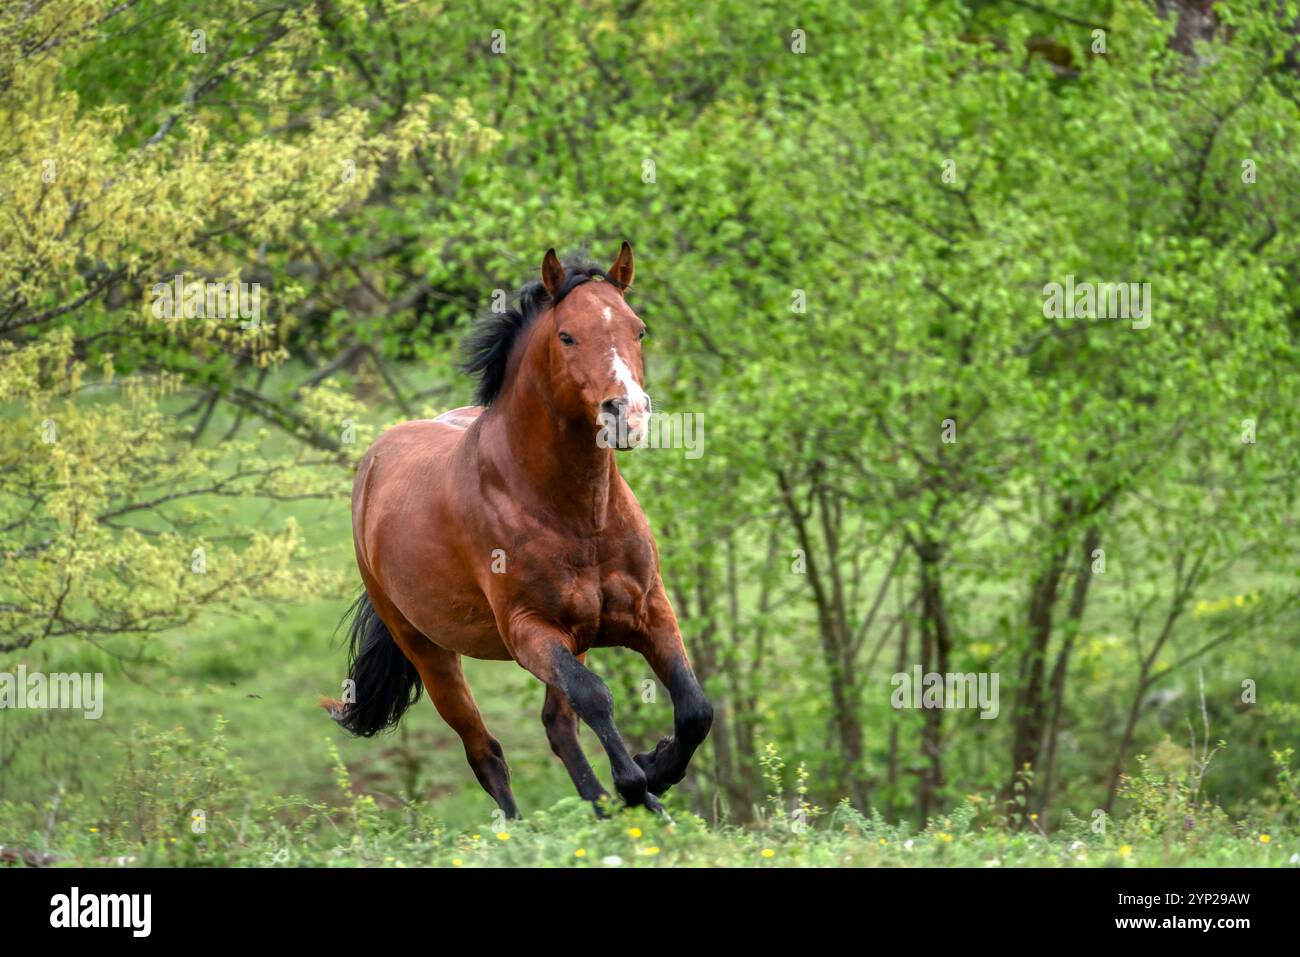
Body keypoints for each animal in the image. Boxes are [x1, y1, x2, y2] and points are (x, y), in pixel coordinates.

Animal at [324, 242, 712, 817]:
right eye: (566, 335)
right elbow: (596, 696)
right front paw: (637, 783)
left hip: (574, 636)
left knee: (558, 725)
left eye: (638, 329)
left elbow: (694, 708)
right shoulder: (529, 630)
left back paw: (611, 806)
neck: (578, 517)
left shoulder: (649, 611)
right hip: (429, 650)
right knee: (485, 750)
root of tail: (374, 461)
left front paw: (655, 774)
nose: (629, 414)